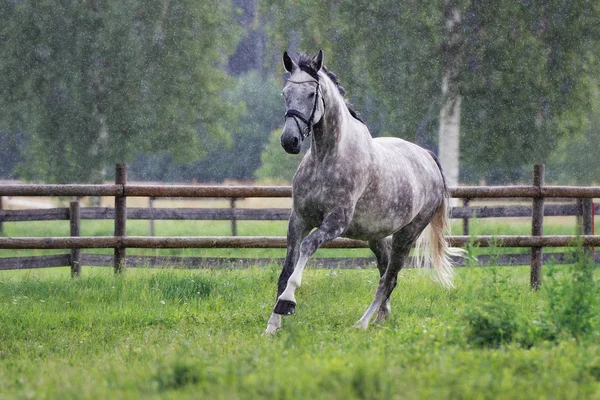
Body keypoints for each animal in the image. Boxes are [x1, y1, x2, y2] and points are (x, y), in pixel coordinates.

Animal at [264, 50, 462, 334]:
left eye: (312, 94)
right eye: (285, 93)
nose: (289, 141)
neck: (327, 157)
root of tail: (428, 157)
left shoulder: (336, 221)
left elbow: (307, 247)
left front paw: (288, 302)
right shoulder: (299, 219)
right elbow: (286, 270)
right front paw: (272, 325)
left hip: (407, 235)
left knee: (388, 279)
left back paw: (362, 323)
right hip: (376, 236)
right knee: (385, 272)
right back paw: (381, 317)